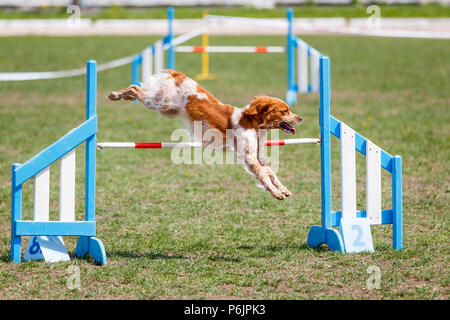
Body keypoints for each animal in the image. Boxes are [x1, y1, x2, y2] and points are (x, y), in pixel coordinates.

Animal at [107, 70, 300, 200]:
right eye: (284, 111)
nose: (301, 118)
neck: (253, 123)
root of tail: (179, 74)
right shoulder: (249, 158)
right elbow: (264, 175)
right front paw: (276, 192)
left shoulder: (258, 156)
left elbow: (271, 172)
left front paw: (283, 189)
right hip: (162, 103)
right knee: (136, 90)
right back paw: (115, 95)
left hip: (168, 109)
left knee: (138, 89)